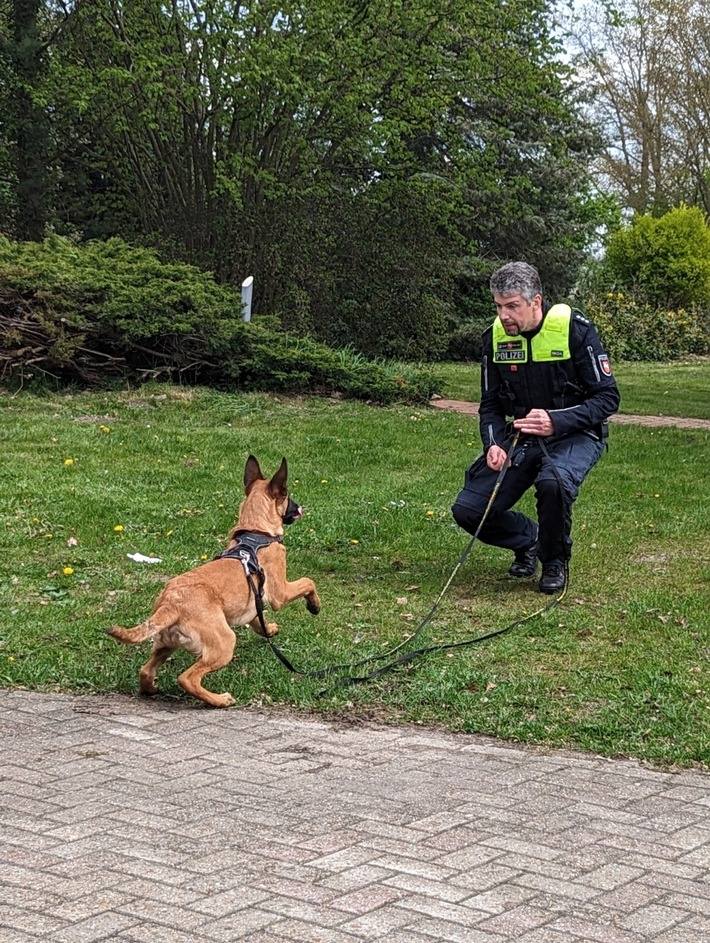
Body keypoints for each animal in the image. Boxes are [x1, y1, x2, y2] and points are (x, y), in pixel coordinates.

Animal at [104, 458, 322, 708]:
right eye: (287, 495)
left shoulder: (255, 602)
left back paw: (151, 689)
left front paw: (270, 629)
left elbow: (259, 620)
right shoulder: (280, 593)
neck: (256, 531)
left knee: (145, 671)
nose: (299, 508)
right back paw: (219, 700)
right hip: (224, 643)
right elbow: (308, 582)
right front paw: (314, 605)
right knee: (187, 678)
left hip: (164, 644)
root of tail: (170, 604)